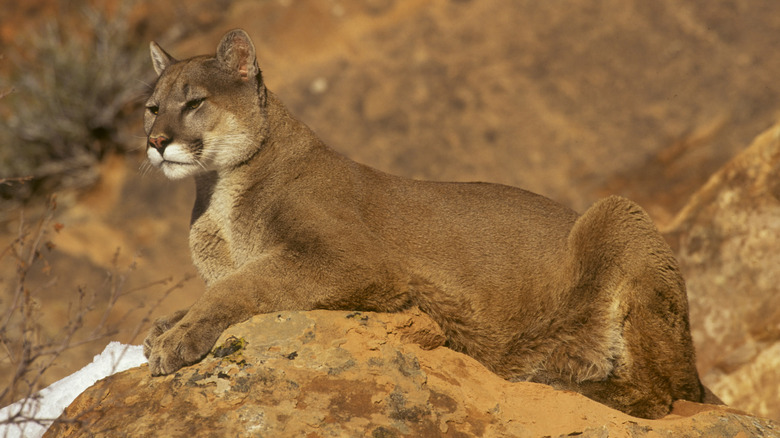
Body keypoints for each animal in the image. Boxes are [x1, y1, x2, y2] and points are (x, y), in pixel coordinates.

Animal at [142, 29, 708, 420]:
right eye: (151, 108)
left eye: (194, 102)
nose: (155, 141)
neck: (217, 190)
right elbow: (216, 287)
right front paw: (162, 326)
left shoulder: (349, 259)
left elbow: (242, 283)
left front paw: (176, 338)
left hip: (618, 213)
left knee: (663, 394)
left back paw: (554, 381)